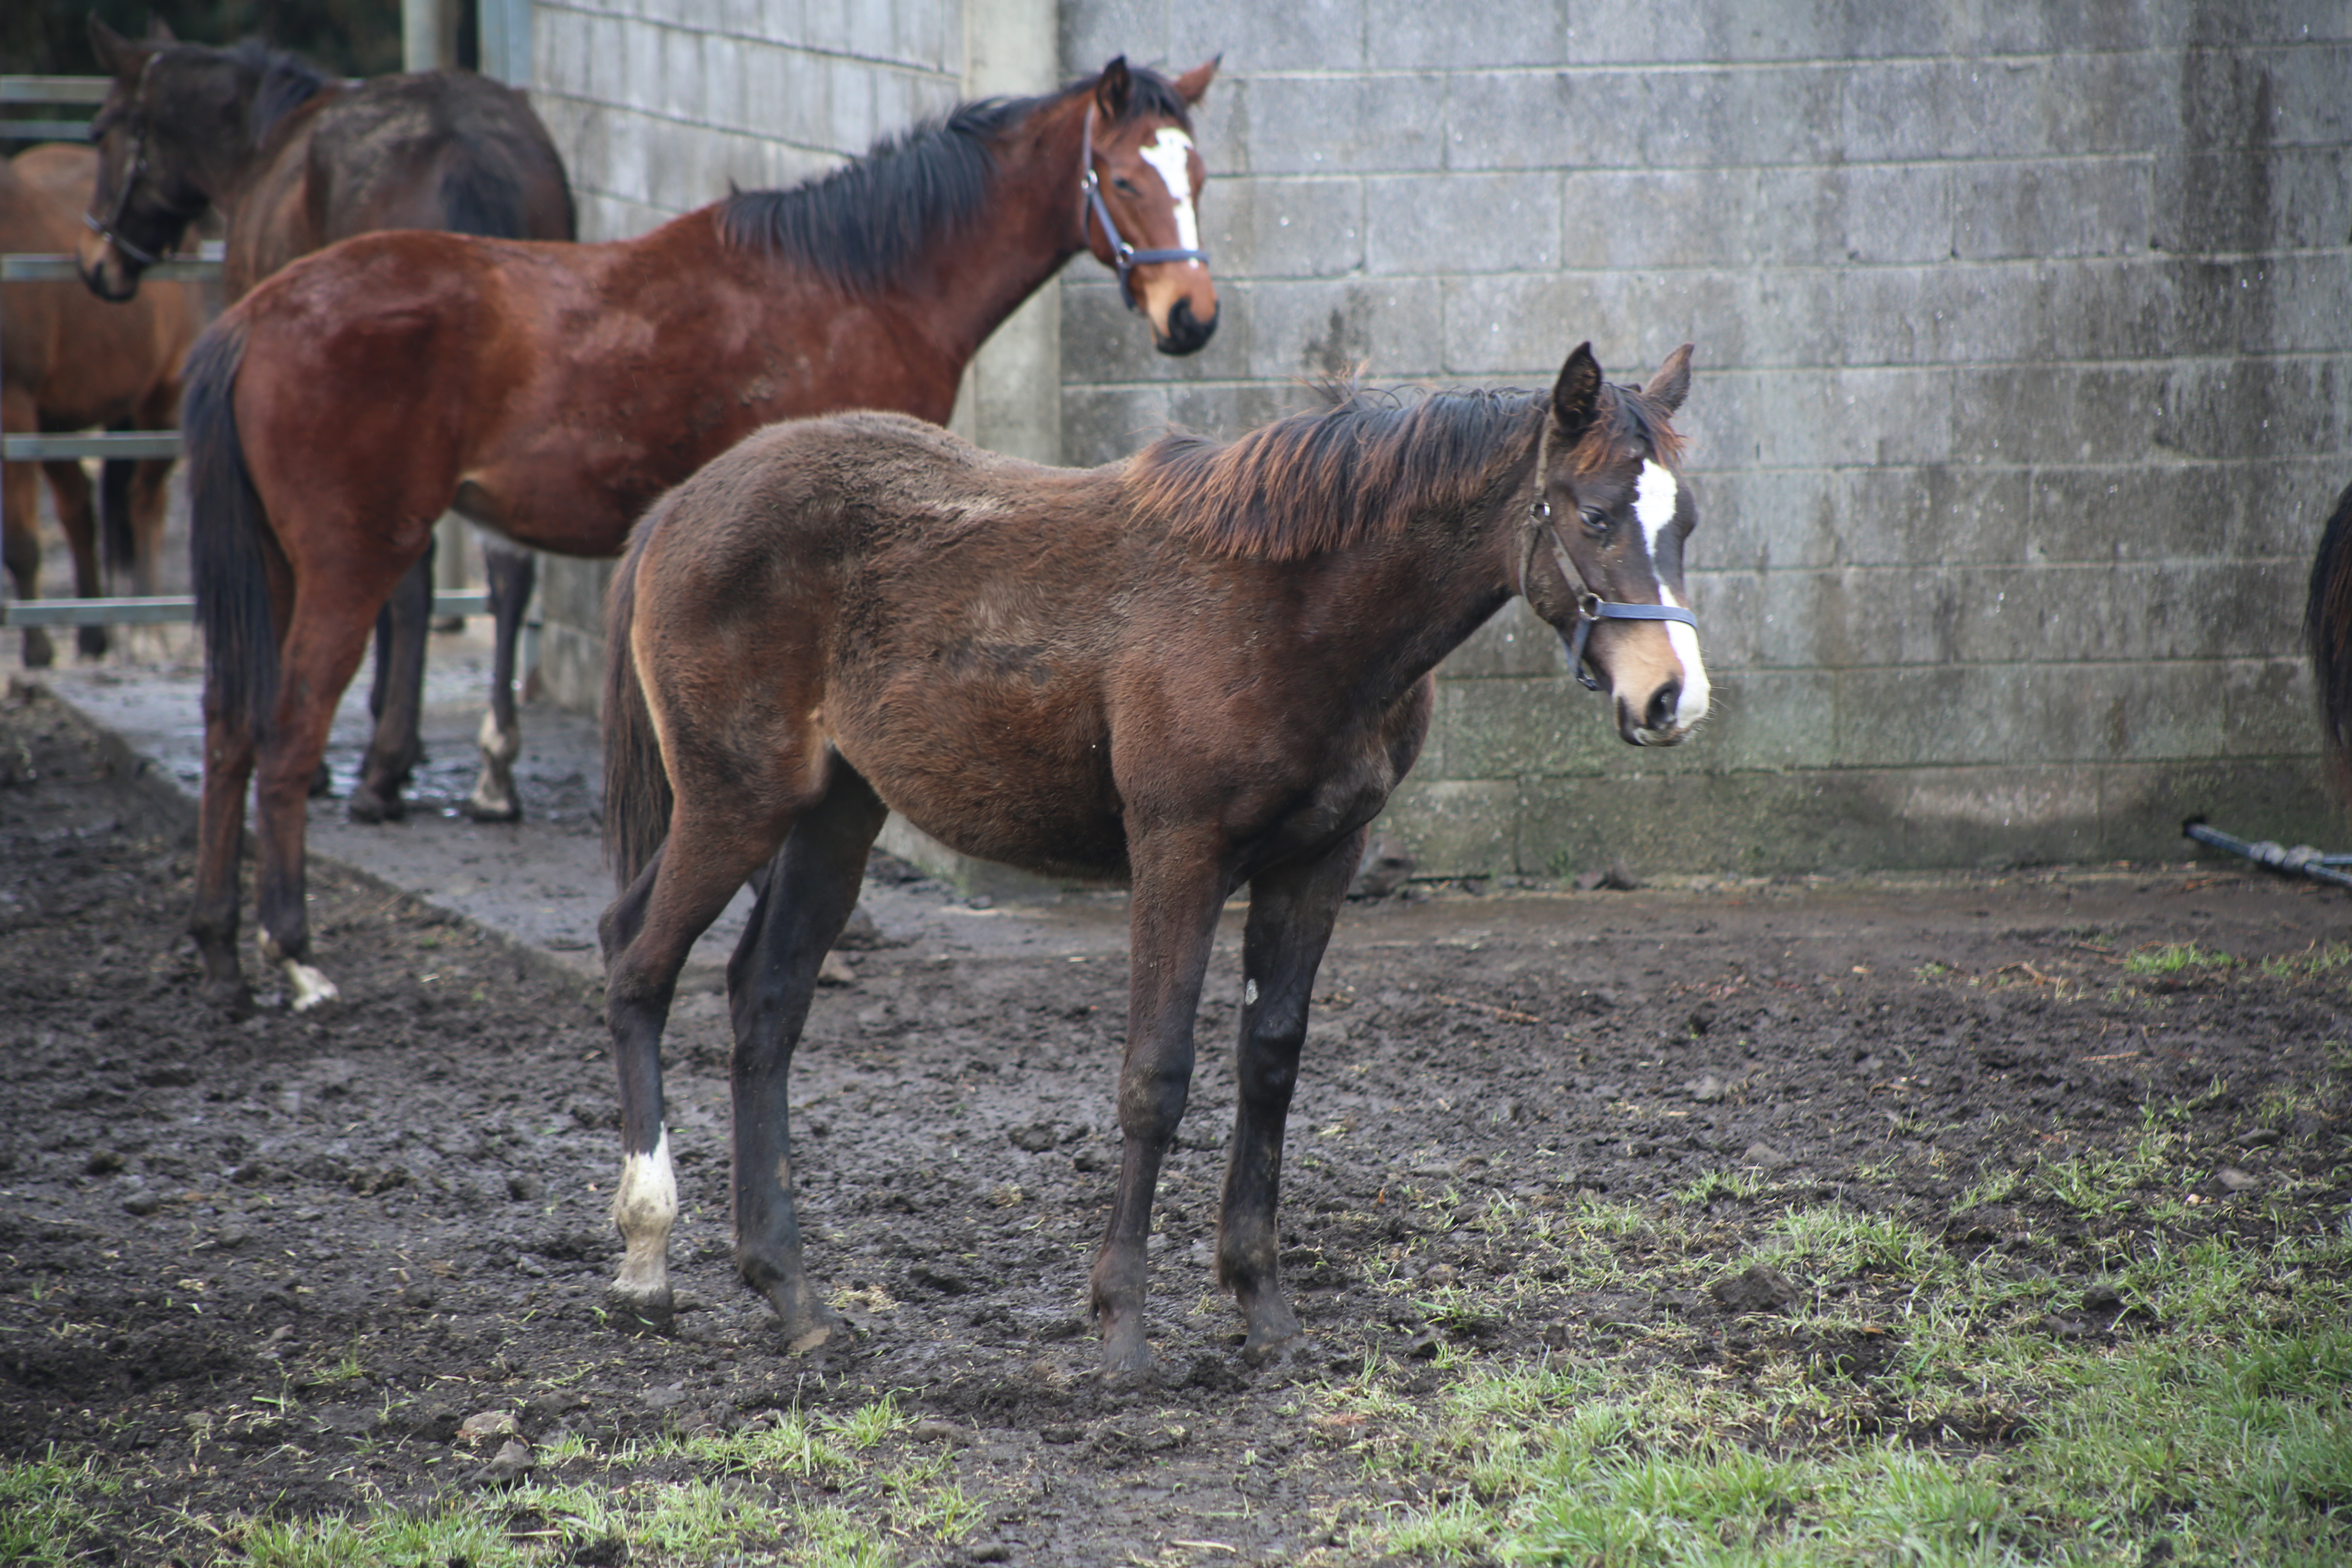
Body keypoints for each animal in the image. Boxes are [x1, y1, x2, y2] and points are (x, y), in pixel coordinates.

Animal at [85, 18, 581, 827]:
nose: (98, 264)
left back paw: (383, 771)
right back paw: (491, 772)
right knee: (506, 572)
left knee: (412, 578)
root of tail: (467, 155)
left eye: (102, 132)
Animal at [186, 55, 1223, 1011]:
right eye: (1123, 179)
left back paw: (221, 950)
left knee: (230, 724)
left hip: (279, 566)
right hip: (351, 558)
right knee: (286, 732)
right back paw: (294, 952)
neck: (857, 281)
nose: (1191, 320)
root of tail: (250, 318)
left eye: (1199, 176)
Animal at [597, 341, 1722, 1363]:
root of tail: (675, 509)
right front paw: (1123, 1325)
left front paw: (1263, 1308)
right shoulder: (1178, 851)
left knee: (764, 1000)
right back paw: (647, 1260)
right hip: (735, 801)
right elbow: (1156, 1075)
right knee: (638, 964)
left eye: (1684, 522)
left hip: (832, 812)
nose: (1673, 698)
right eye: (1593, 515)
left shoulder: (1321, 858)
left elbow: (1269, 1063)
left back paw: (793, 1296)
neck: (1292, 612)